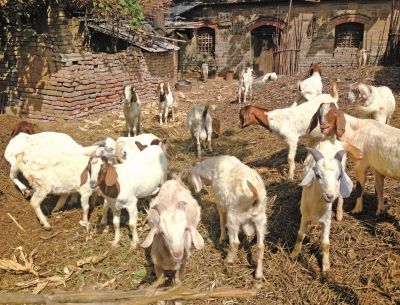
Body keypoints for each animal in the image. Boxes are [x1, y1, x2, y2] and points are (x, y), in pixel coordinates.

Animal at [290, 139, 354, 272]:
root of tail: (331, 140)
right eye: (318, 175)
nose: (330, 195)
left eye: (339, 176)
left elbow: (325, 244)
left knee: (341, 196)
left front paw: (326, 267)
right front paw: (294, 254)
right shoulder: (305, 216)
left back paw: (339, 214)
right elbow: (300, 235)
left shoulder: (327, 220)